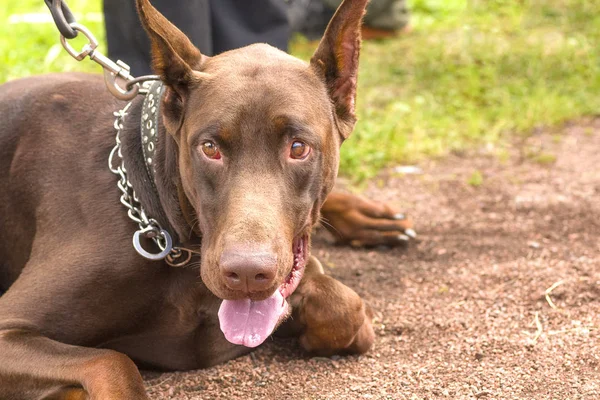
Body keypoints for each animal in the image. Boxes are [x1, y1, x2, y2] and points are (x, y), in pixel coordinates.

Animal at [0, 0, 412, 396]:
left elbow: (348, 309)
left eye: (298, 148)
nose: (247, 274)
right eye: (210, 148)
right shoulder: (9, 330)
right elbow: (111, 361)